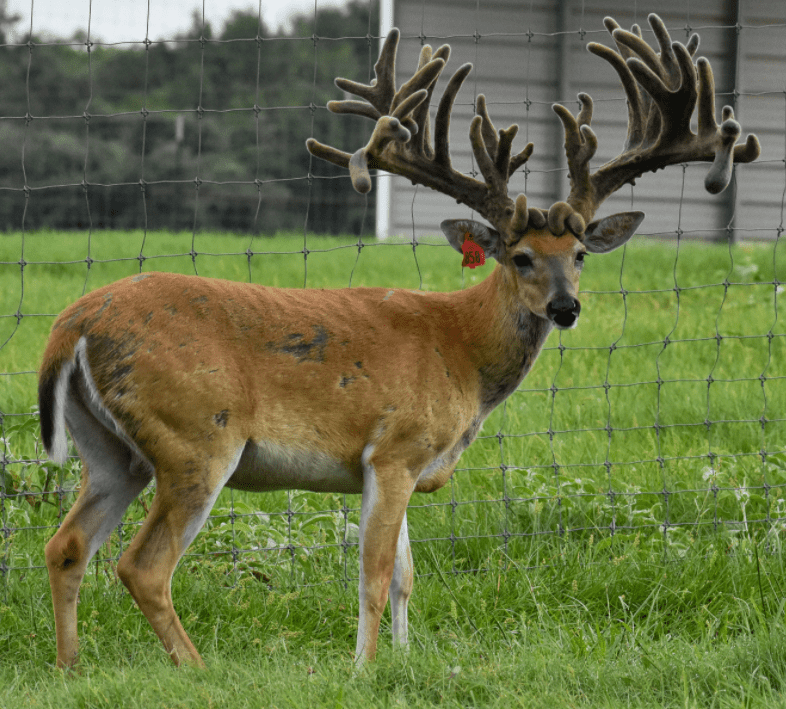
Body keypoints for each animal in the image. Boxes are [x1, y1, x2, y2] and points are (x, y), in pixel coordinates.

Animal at [39, 14, 759, 669]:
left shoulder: (405, 465)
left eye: (579, 253)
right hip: (197, 434)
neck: (462, 350)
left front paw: (406, 660)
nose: (566, 306)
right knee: (143, 565)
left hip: (112, 449)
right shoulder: (393, 448)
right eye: (520, 256)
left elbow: (409, 575)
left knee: (67, 544)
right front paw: (363, 668)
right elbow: (376, 576)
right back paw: (195, 668)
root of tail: (73, 323)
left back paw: (70, 666)